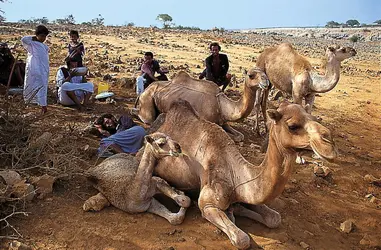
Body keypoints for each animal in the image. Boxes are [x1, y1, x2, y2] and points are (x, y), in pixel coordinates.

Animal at [133, 69, 268, 142]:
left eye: (265, 73)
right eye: (251, 75)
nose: (266, 82)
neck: (221, 104)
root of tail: (146, 89)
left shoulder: (223, 121)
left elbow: (240, 136)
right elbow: (232, 137)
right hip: (147, 99)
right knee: (147, 117)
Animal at [151, 99, 336, 248]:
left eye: (314, 118)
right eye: (293, 126)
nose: (329, 144)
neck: (235, 174)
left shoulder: (247, 194)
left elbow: (274, 218)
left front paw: (237, 209)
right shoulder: (208, 204)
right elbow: (242, 239)